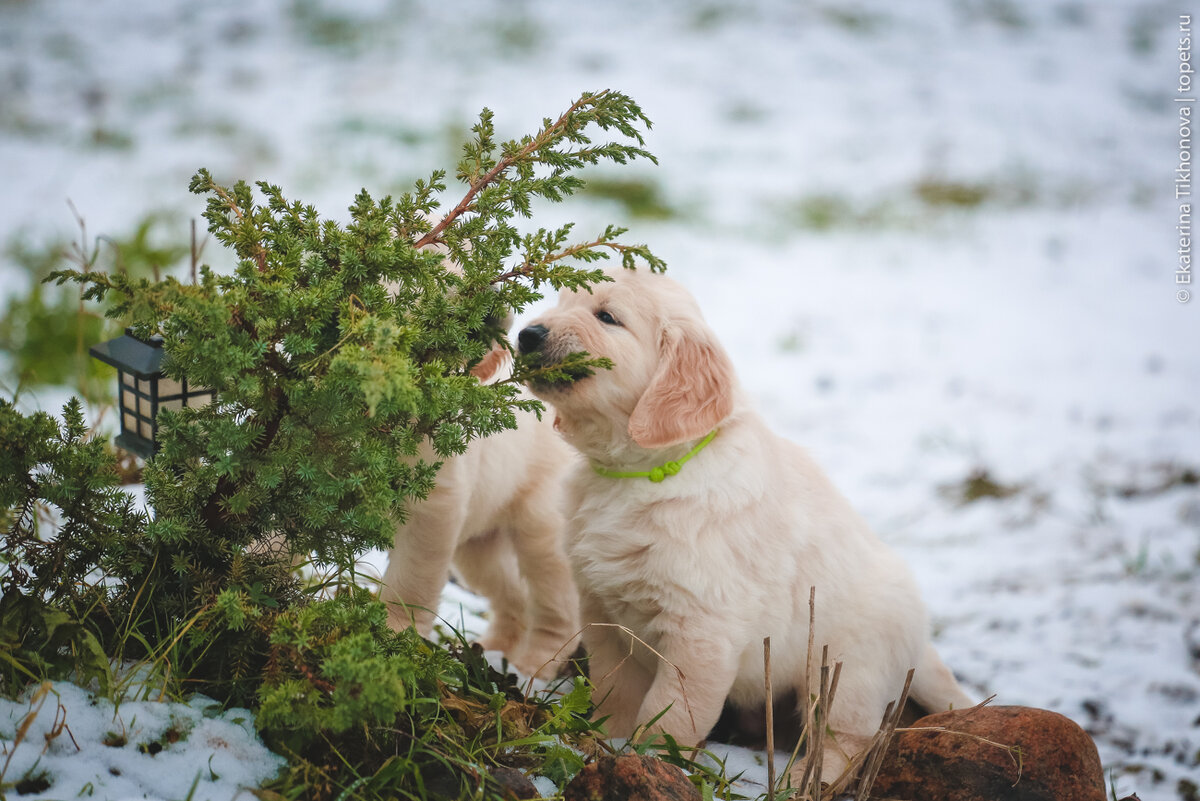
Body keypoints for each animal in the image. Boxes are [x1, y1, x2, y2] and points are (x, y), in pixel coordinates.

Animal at [516, 270, 974, 781]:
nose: (527, 334)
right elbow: (616, 694)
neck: (640, 475)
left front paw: (653, 759)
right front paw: (604, 744)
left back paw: (797, 779)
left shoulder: (702, 631)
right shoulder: (604, 615)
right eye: (561, 305)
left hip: (848, 668)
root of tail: (922, 641)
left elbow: (668, 715)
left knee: (845, 738)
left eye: (607, 317)